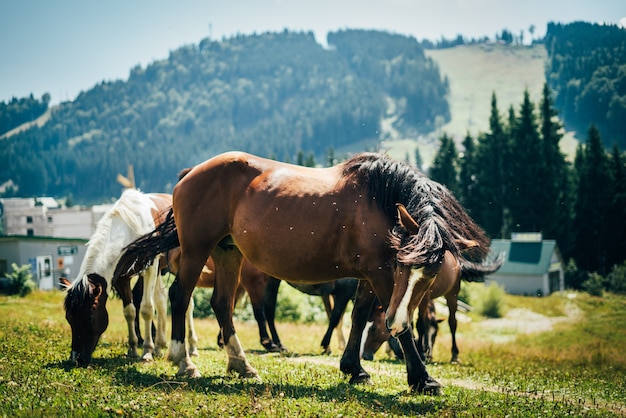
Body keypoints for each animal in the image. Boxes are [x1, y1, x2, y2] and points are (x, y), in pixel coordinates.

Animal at [60, 189, 171, 366]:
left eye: (89, 317)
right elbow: (129, 311)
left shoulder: (151, 267)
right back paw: (160, 345)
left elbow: (146, 309)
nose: (76, 359)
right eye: (68, 318)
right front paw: (133, 349)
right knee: (160, 300)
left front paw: (147, 352)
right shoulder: (121, 277)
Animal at [358, 250, 494, 364]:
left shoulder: (423, 297)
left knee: (452, 323)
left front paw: (422, 353)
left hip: (452, 294)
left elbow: (420, 324)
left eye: (374, 328)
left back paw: (453, 356)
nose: (364, 355)